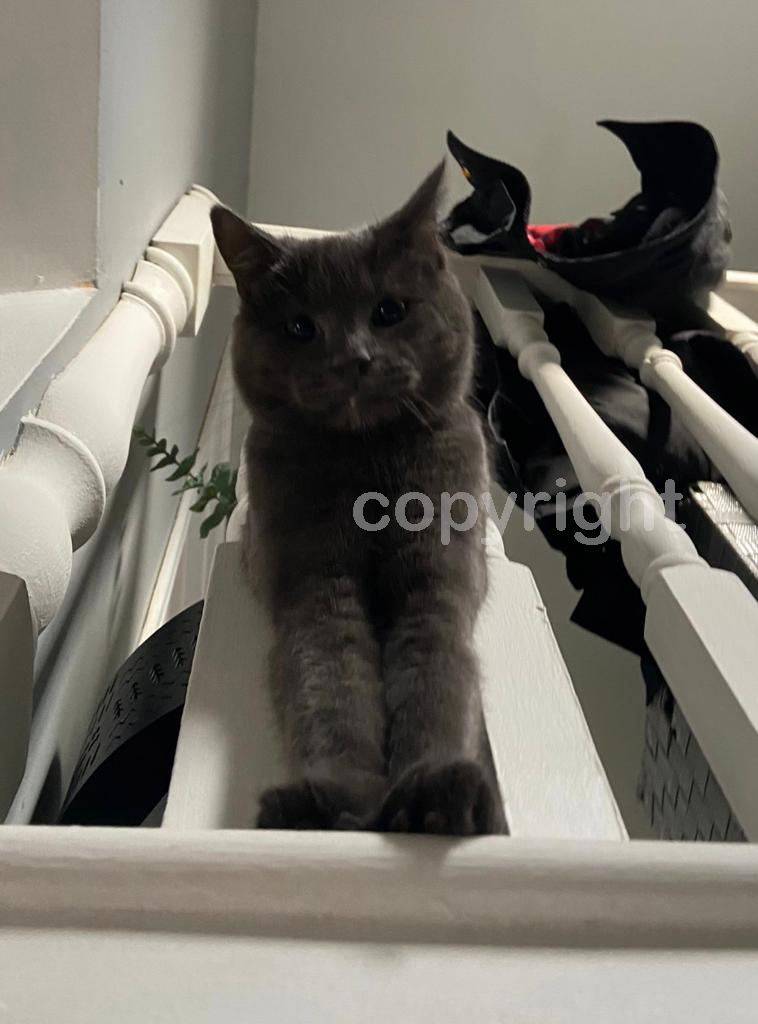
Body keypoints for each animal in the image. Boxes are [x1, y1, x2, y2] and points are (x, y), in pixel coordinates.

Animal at [211, 164, 505, 835]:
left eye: (389, 310)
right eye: (300, 327)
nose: (353, 358)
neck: (367, 463)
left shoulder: (437, 576)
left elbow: (438, 677)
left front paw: (433, 794)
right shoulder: (314, 586)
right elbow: (327, 685)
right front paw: (328, 801)